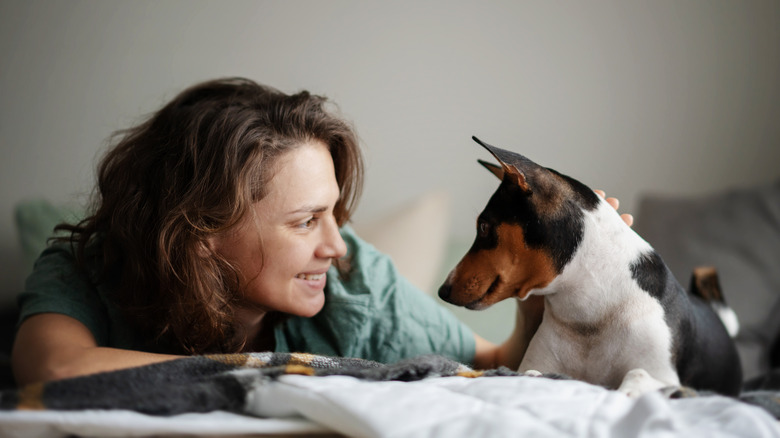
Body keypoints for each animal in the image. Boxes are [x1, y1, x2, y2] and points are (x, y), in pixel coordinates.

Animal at [438, 137, 744, 396]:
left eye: (483, 226)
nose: (442, 291)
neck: (587, 315)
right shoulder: (532, 366)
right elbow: (533, 374)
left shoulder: (664, 376)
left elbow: (635, 376)